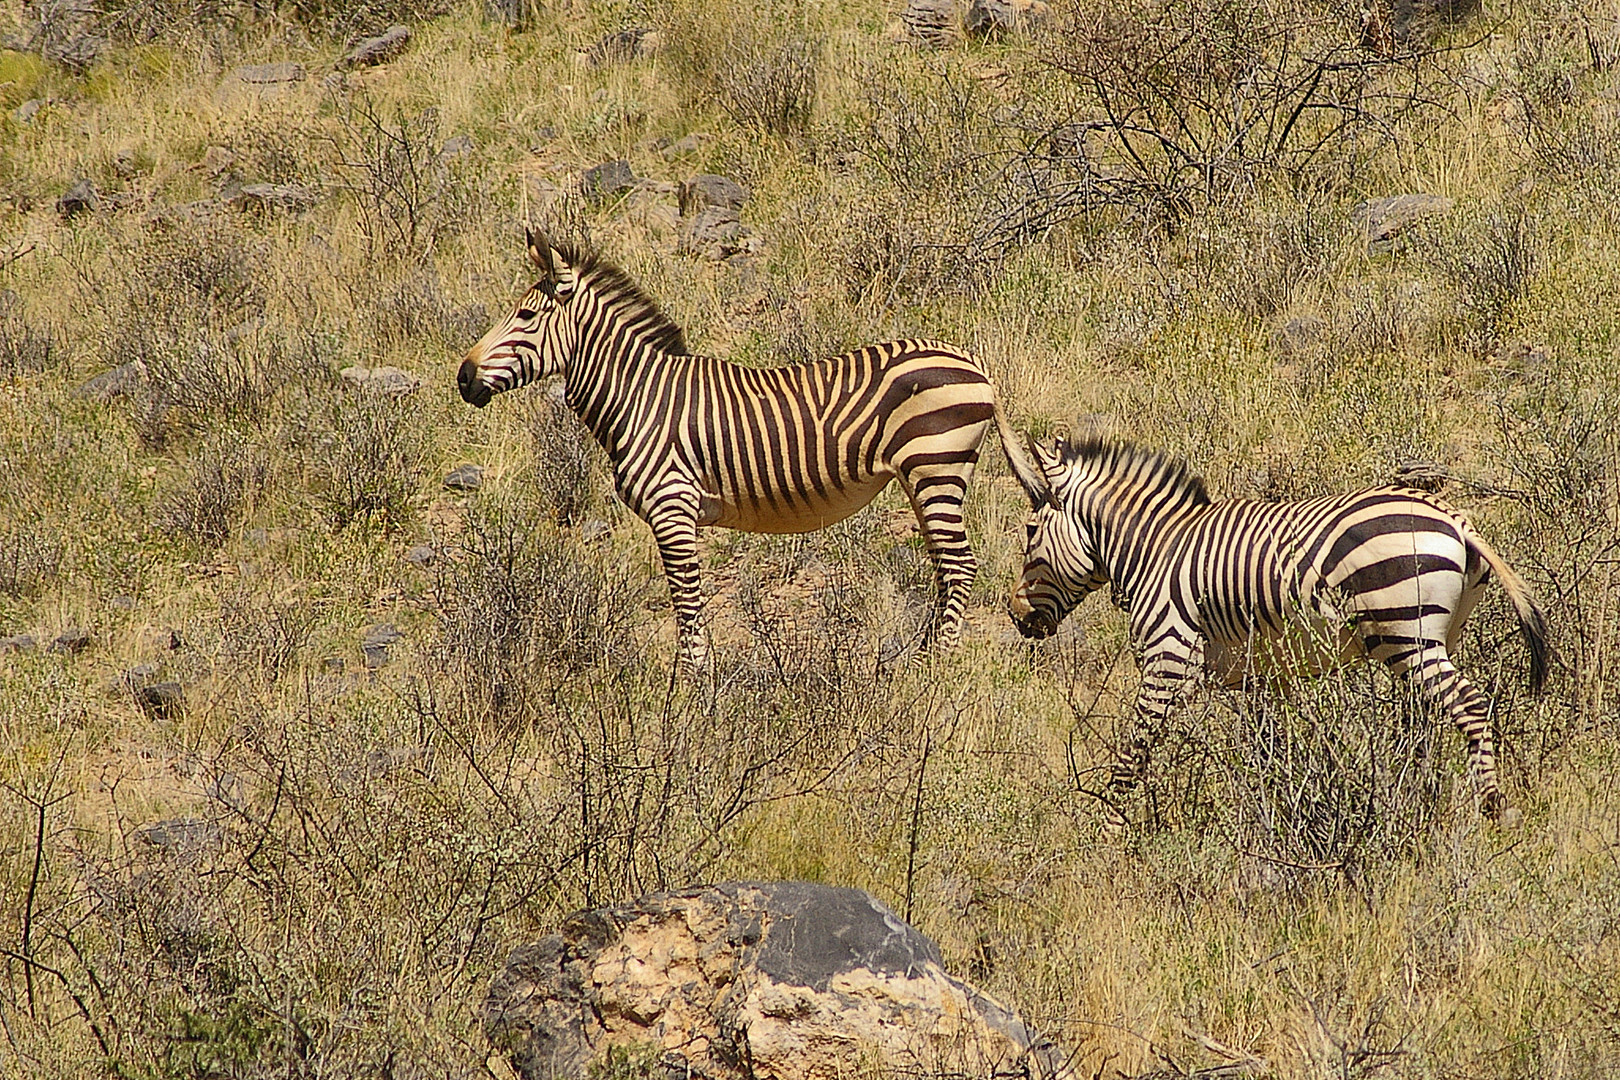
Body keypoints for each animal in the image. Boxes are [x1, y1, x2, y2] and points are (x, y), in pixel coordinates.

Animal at [463, 233, 1030, 670]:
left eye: (526, 316)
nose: (463, 378)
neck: (641, 396)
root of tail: (974, 363)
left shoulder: (673, 507)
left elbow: (685, 595)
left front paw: (691, 683)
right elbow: (686, 595)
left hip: (935, 467)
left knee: (960, 564)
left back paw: (934, 664)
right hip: (925, 477)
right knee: (946, 565)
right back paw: (925, 653)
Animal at [1004, 430, 1548, 819]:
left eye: (1030, 532)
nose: (1015, 615)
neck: (1155, 550)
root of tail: (1455, 518)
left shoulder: (1168, 658)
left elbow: (1135, 747)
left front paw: (1110, 826)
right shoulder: (1264, 674)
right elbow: (1272, 747)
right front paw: (1282, 801)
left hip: (1408, 635)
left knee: (1470, 707)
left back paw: (1492, 809)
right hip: (1435, 637)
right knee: (1431, 719)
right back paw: (1413, 794)